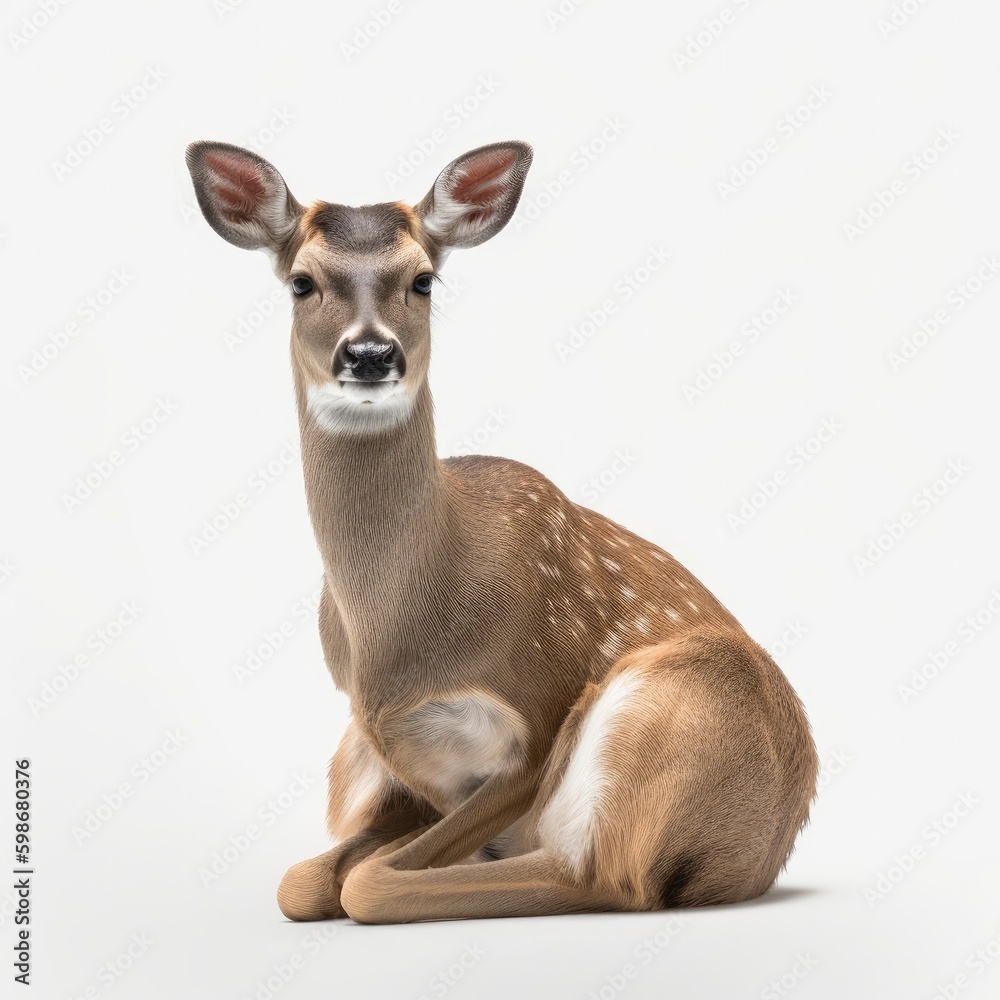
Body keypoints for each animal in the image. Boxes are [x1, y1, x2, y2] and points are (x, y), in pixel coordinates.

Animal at [185, 138, 818, 924]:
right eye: (302, 282)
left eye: (423, 280)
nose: (371, 355)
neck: (398, 648)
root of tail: (762, 850)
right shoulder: (384, 753)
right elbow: (299, 883)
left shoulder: (539, 710)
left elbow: (362, 878)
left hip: (673, 703)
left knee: (602, 878)